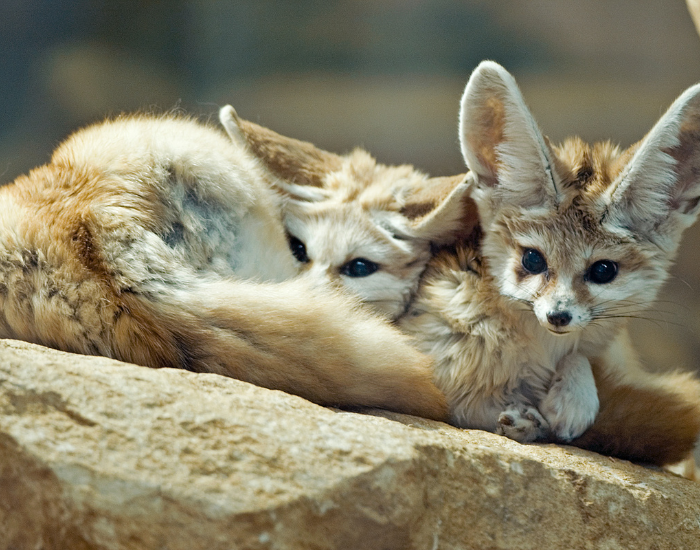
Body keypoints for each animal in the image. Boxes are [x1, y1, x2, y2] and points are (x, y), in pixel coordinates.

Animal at [399, 61, 700, 467]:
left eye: (603, 270)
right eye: (532, 259)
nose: (559, 316)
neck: (541, 349)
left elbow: (582, 359)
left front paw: (572, 396)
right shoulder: (437, 380)